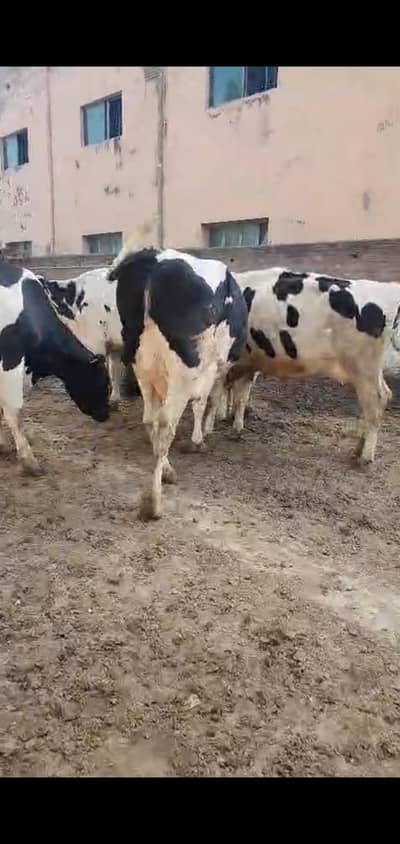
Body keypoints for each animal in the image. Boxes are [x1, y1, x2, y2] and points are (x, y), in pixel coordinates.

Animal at [108, 246, 248, 519]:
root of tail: (154, 259)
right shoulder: (212, 369)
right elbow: (204, 402)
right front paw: (200, 438)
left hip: (141, 364)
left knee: (150, 418)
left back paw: (166, 469)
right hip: (183, 368)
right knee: (165, 423)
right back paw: (154, 502)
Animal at [224, 267, 400, 466]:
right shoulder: (249, 361)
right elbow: (240, 394)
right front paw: (234, 423)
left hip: (364, 367)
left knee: (376, 400)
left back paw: (365, 457)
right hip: (369, 371)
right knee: (379, 397)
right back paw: (358, 449)